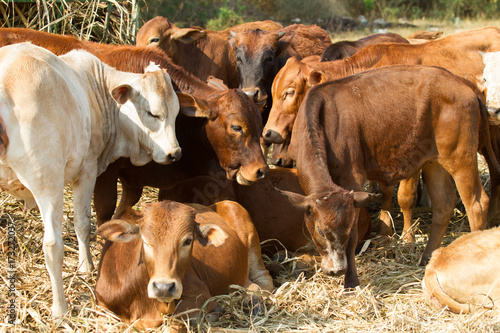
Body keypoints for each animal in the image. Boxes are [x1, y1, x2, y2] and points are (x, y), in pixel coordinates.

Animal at [0, 42, 184, 316]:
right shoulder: (86, 170)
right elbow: (83, 222)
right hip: (48, 181)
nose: (175, 153)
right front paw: (85, 266)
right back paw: (60, 309)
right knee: (52, 245)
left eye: (176, 113)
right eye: (152, 113)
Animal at [95, 198, 272, 328]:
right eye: (144, 240)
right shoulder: (101, 307)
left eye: (188, 241)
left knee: (264, 279)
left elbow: (178, 319)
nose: (163, 287)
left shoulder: (198, 294)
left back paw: (254, 302)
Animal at [280, 65, 494, 288]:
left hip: (460, 156)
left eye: (345, 228)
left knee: (477, 204)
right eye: (321, 231)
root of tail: (461, 82)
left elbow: (355, 234)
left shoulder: (353, 178)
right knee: (444, 204)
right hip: (435, 161)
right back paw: (426, 257)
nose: (336, 270)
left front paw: (351, 282)